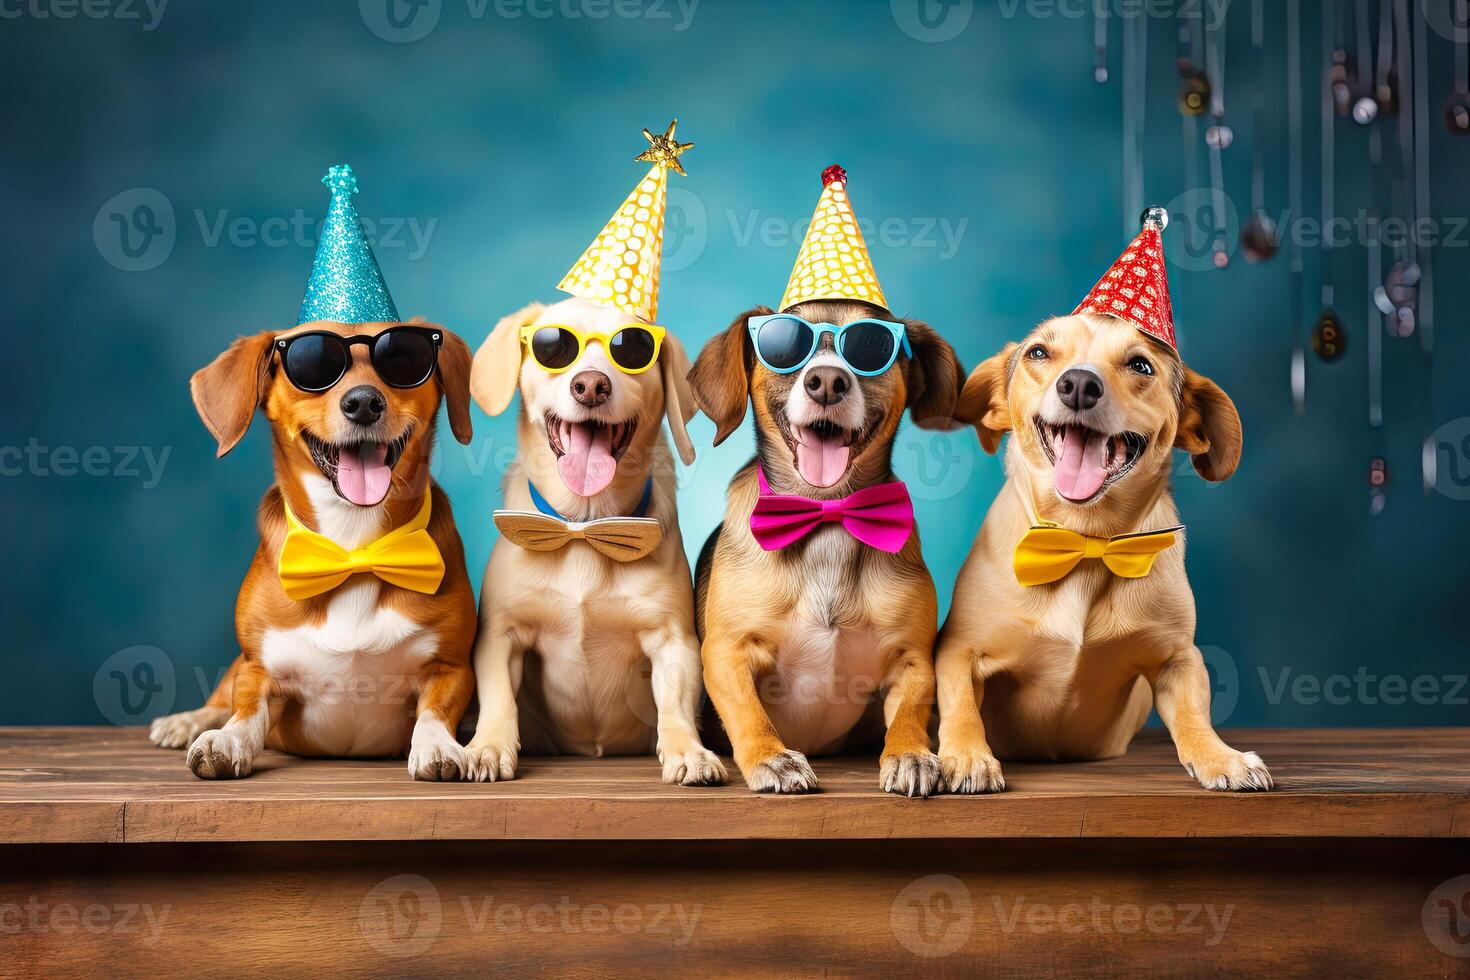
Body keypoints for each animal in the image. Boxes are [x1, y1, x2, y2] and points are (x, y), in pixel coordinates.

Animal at [147, 320, 476, 781]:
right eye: (313, 364)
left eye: (402, 358)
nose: (363, 402)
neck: (353, 542)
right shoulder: (257, 666)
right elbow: (245, 710)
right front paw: (226, 739)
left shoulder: (452, 667)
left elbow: (435, 710)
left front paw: (438, 744)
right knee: (220, 698)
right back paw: (186, 722)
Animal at [464, 295, 723, 787]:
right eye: (553, 347)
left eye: (633, 348)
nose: (590, 386)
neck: (584, 525)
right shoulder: (501, 636)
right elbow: (498, 696)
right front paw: (487, 746)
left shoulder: (673, 641)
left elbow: (675, 705)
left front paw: (688, 751)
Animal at [940, 318, 1275, 793]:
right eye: (1038, 352)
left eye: (1140, 364)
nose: (1079, 384)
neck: (1086, 539)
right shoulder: (959, 650)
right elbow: (961, 705)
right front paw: (968, 756)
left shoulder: (1178, 656)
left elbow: (1194, 714)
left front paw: (1220, 757)